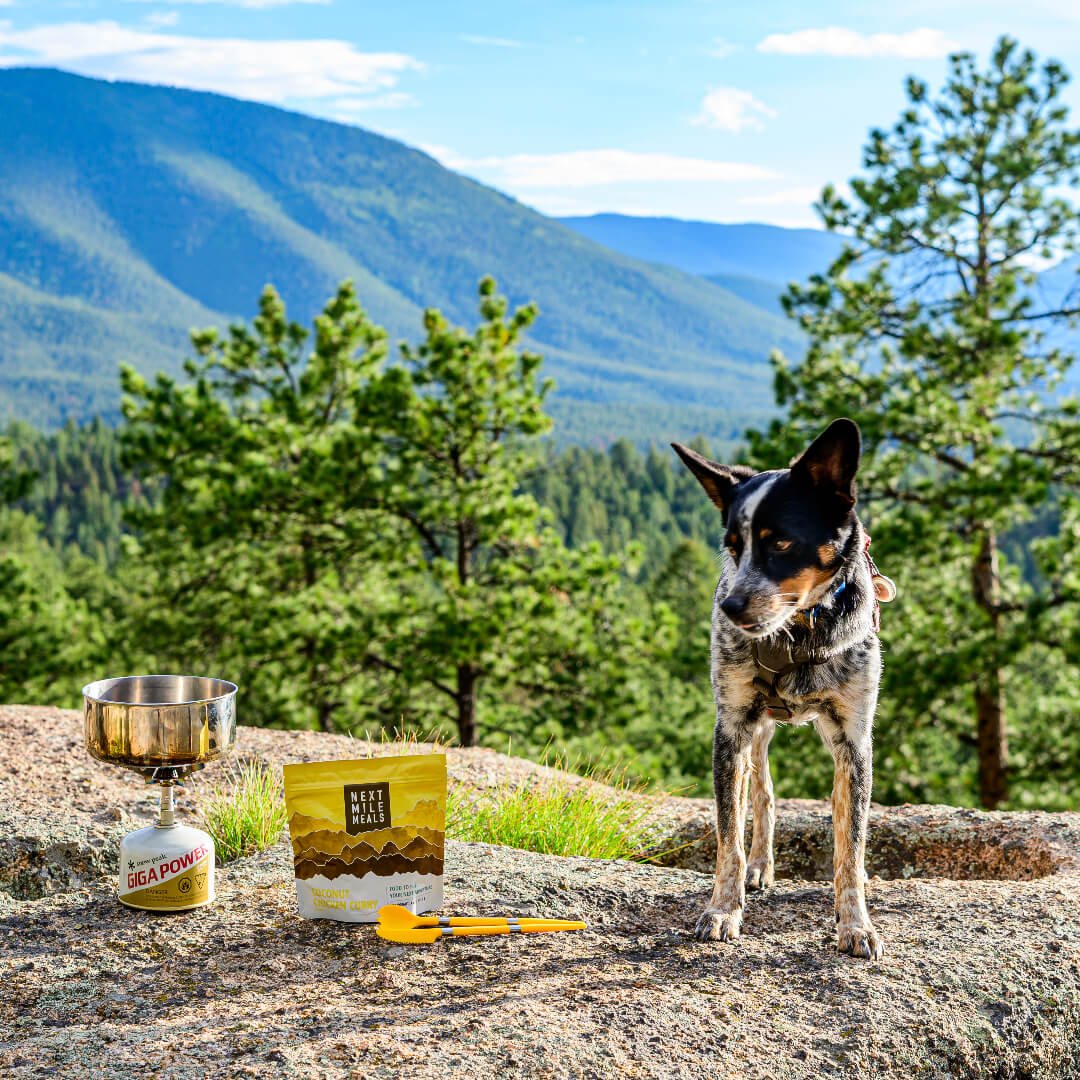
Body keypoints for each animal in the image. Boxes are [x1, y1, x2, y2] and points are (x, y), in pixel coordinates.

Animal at [673, 416, 894, 959]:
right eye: (733, 548)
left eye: (780, 544)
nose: (729, 606)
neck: (799, 634)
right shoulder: (731, 730)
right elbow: (729, 835)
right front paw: (723, 909)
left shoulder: (853, 742)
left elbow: (850, 844)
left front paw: (855, 923)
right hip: (755, 731)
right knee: (763, 792)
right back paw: (759, 865)